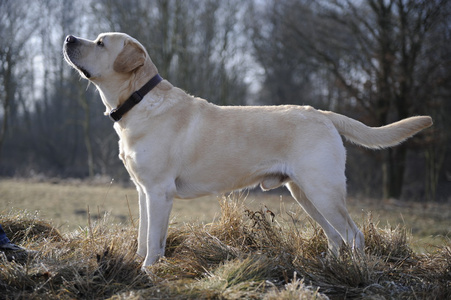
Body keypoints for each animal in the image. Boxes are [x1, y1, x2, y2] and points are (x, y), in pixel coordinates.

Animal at [63, 32, 434, 268]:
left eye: (100, 42)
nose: (68, 39)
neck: (138, 100)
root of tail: (322, 113)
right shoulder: (144, 191)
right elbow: (143, 236)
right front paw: (138, 263)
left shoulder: (159, 192)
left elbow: (155, 240)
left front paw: (148, 270)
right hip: (305, 193)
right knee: (335, 236)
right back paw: (329, 268)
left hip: (323, 190)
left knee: (353, 235)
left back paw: (356, 273)